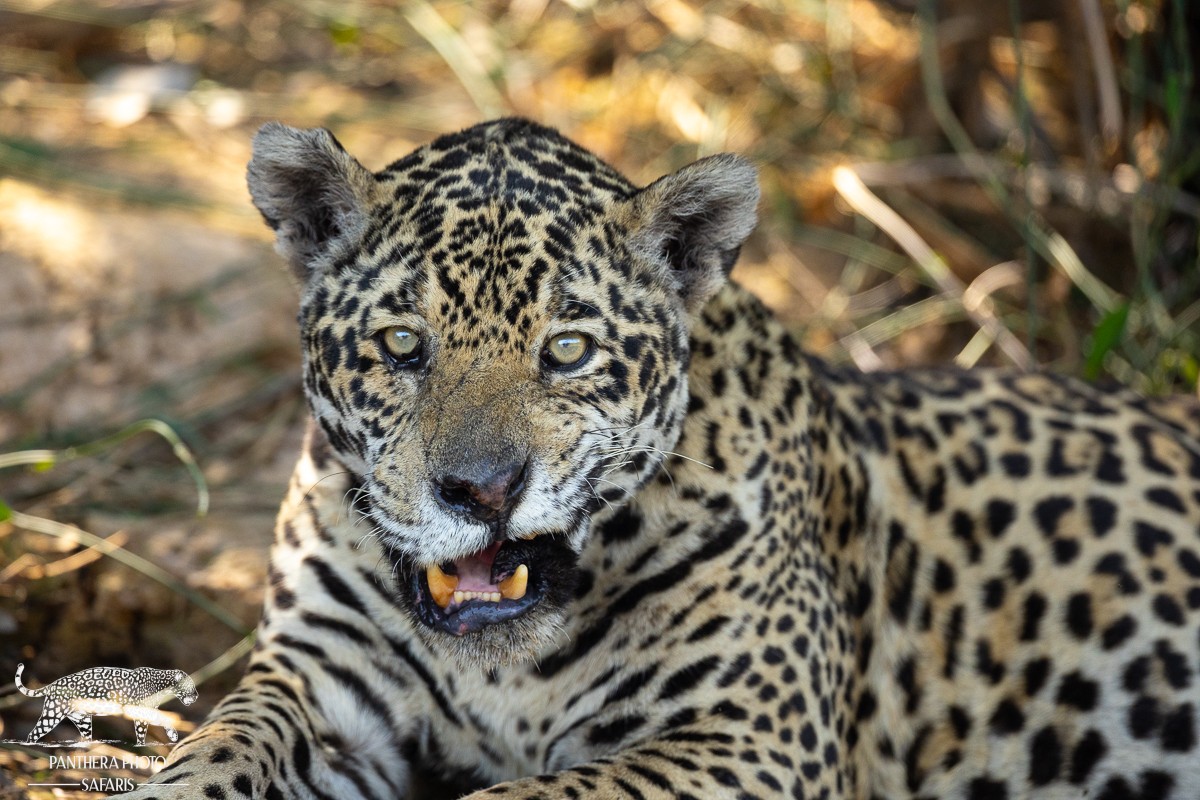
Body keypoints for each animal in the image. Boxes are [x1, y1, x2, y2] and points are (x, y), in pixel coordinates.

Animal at [16, 663, 197, 745]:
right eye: (191, 687)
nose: (196, 696)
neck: (162, 685)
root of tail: (52, 684)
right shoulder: (142, 712)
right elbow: (141, 733)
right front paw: (141, 745)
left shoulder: (150, 710)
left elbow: (163, 719)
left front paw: (173, 735)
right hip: (52, 715)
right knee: (33, 734)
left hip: (83, 720)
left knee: (85, 738)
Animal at [117, 118, 1200, 800]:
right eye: (400, 344)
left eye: (566, 350)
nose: (483, 491)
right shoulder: (320, 685)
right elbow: (219, 747)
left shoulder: (750, 738)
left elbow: (536, 796)